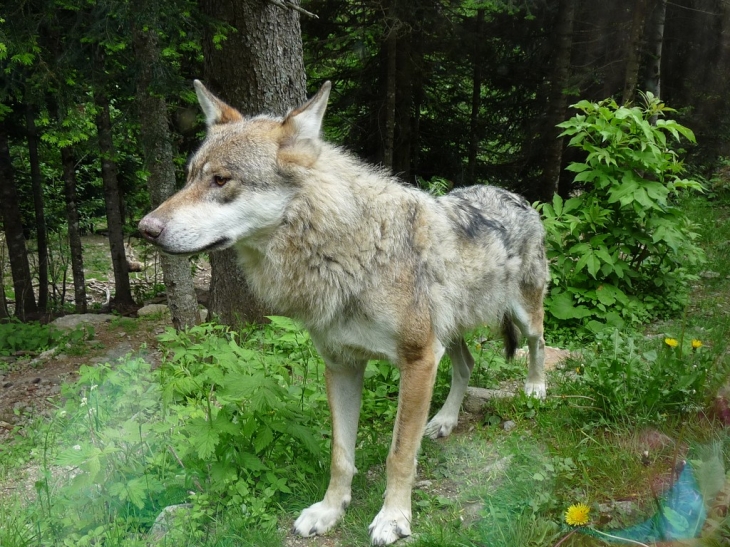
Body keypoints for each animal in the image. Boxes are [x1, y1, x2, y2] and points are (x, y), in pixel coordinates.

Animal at [138, 79, 544, 544]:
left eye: (220, 179)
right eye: (189, 177)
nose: (145, 229)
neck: (348, 249)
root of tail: (513, 194)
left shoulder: (418, 361)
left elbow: (399, 454)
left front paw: (394, 518)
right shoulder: (341, 365)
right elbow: (340, 454)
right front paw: (329, 511)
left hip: (521, 315)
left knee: (537, 344)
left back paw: (535, 389)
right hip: (448, 333)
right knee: (468, 365)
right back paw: (444, 420)